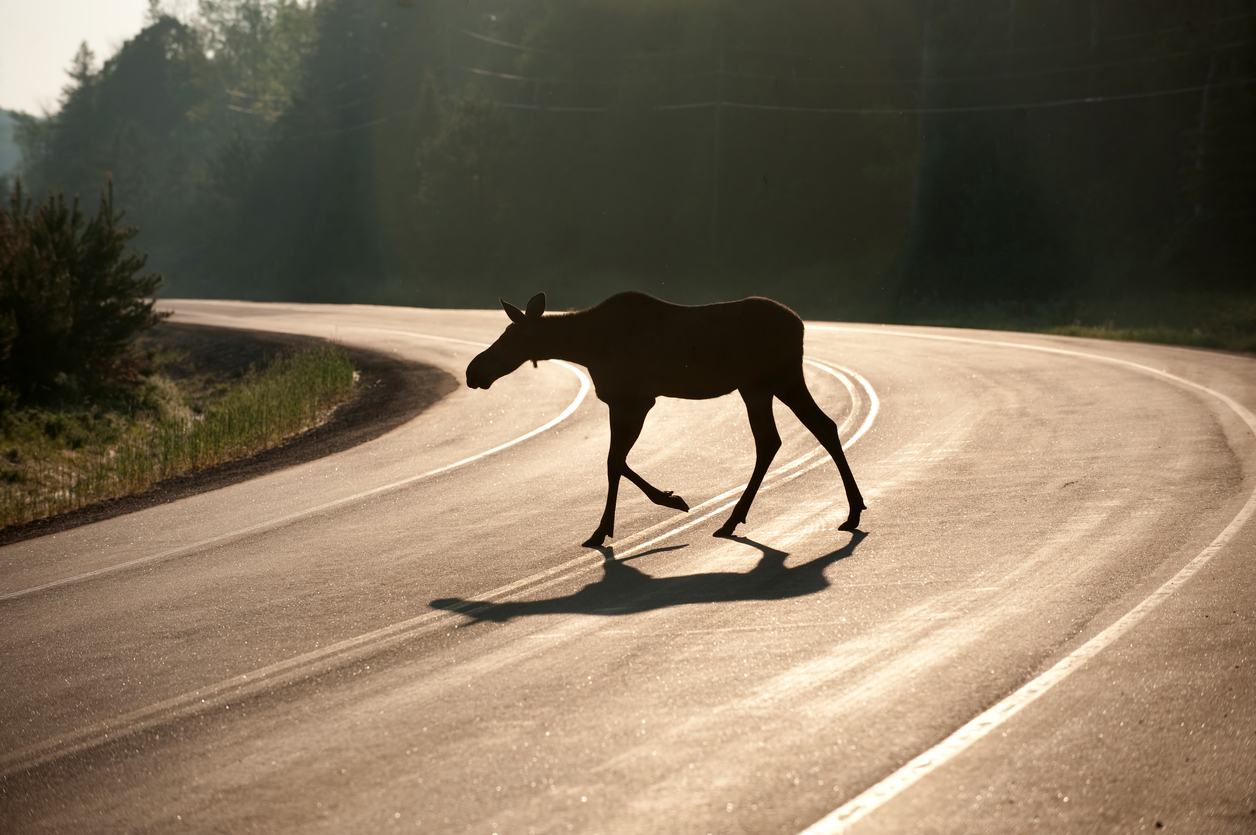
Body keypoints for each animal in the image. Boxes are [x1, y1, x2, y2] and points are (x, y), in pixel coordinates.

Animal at [464, 292, 864, 547]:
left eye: (509, 338)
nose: (473, 371)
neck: (585, 347)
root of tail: (801, 326)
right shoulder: (627, 402)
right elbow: (616, 461)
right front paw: (664, 501)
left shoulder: (635, 400)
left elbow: (613, 461)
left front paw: (610, 527)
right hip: (763, 385)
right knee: (800, 432)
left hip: (773, 380)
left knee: (796, 433)